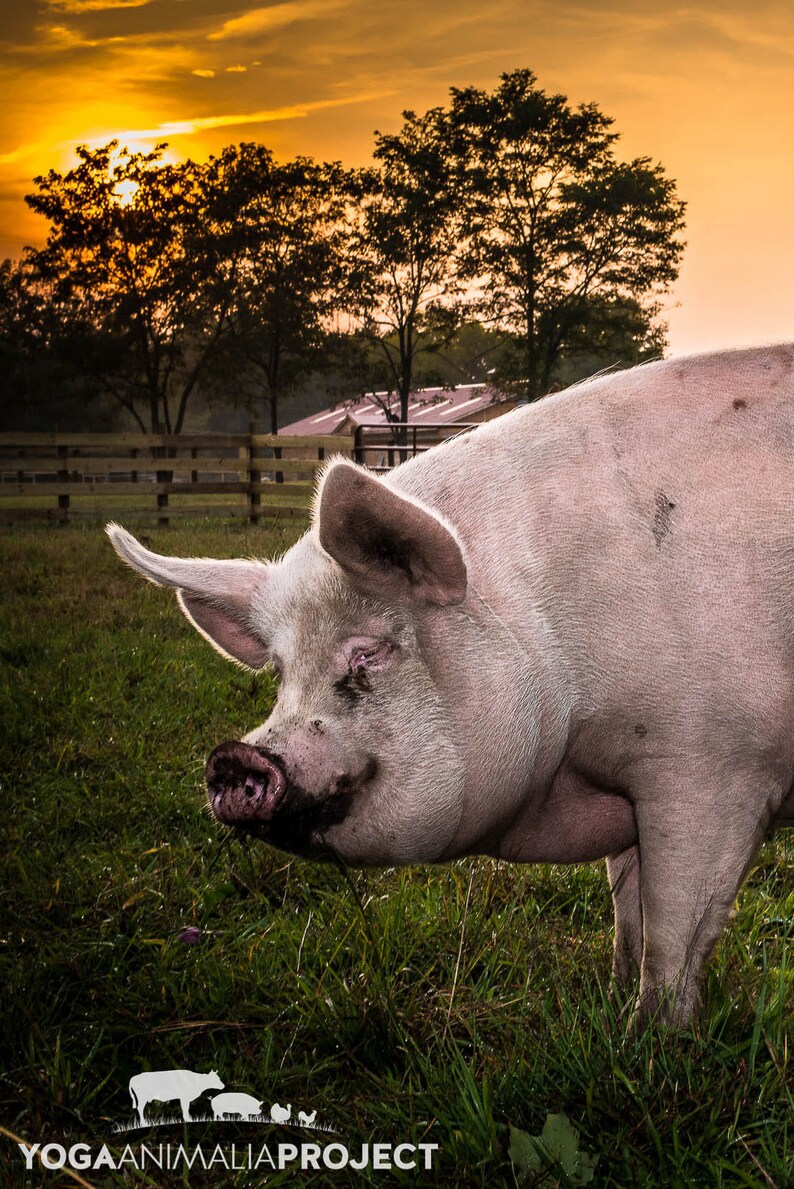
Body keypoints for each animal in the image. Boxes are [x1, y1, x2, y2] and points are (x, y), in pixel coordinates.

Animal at [108, 344, 794, 1029]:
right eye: (281, 672)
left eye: (368, 652)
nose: (233, 757)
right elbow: (629, 909)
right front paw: (615, 996)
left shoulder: (715, 764)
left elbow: (675, 931)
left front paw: (650, 1036)